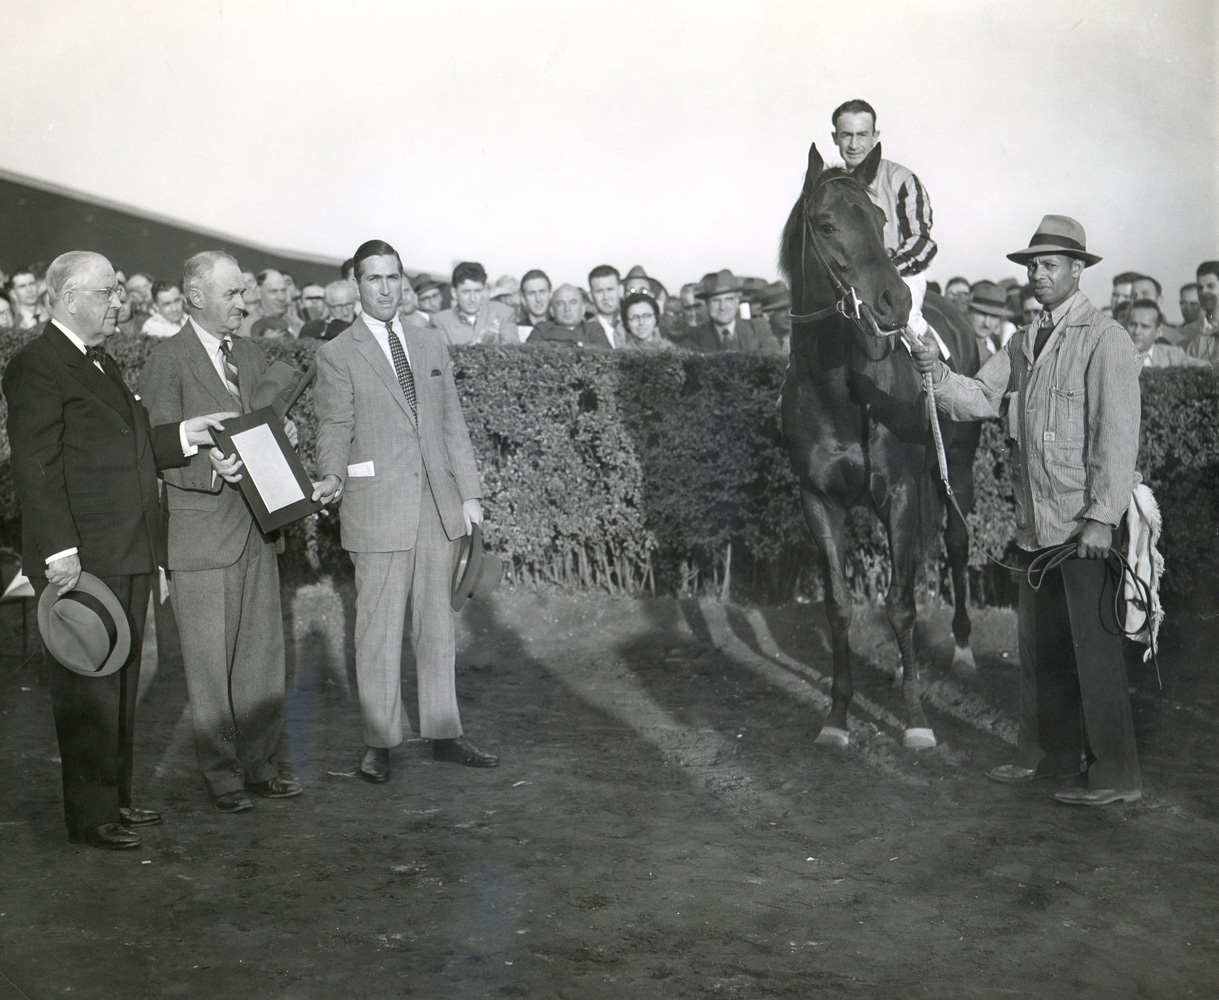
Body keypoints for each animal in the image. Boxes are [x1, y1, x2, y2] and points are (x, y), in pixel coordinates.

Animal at [775, 142, 984, 751]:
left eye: (880, 219)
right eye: (826, 224)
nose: (895, 300)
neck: (842, 390)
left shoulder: (901, 492)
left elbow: (902, 603)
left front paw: (916, 718)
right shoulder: (817, 498)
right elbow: (840, 605)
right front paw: (837, 715)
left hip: (957, 469)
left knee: (955, 544)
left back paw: (961, 651)